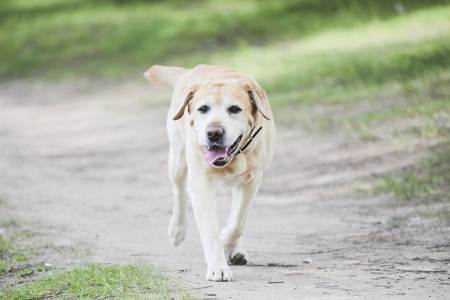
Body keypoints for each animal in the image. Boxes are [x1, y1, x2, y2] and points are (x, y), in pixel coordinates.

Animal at [146, 63, 276, 282]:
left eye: (234, 109)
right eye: (203, 109)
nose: (214, 132)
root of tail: (192, 70)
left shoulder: (251, 181)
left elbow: (238, 222)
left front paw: (229, 242)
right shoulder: (201, 185)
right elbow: (210, 232)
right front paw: (218, 267)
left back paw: (237, 249)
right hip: (178, 159)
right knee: (179, 192)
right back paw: (177, 229)